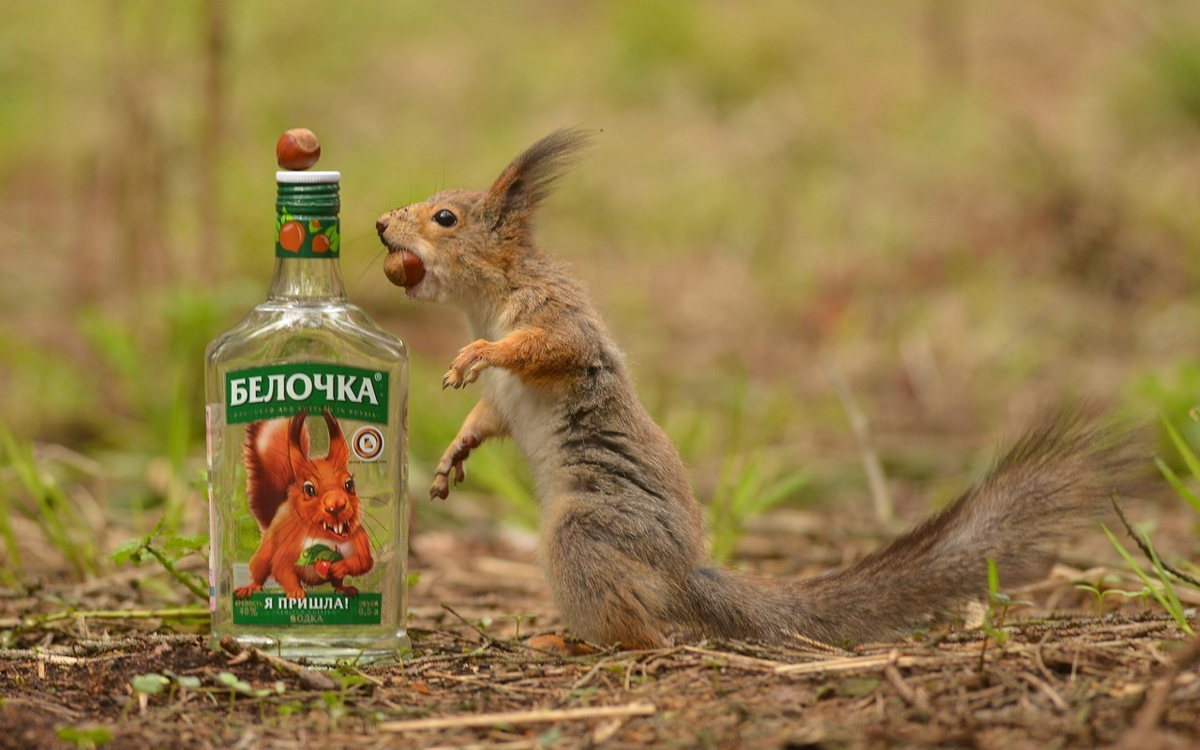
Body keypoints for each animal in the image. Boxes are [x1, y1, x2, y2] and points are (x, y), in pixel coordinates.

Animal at [234, 408, 373, 600]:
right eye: (308, 489)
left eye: (349, 485)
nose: (337, 504)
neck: (325, 537)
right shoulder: (288, 545)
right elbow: (282, 568)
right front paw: (296, 591)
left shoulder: (358, 538)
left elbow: (364, 561)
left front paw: (341, 566)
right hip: (265, 550)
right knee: (259, 570)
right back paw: (250, 587)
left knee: (337, 582)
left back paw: (345, 588)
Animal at [375, 129, 1146, 649]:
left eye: (445, 218)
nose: (381, 223)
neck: (485, 300)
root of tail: (683, 574)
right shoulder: (506, 397)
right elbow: (487, 418)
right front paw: (453, 456)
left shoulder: (560, 320)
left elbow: (545, 349)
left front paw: (478, 354)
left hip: (586, 534)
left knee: (646, 630)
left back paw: (574, 641)